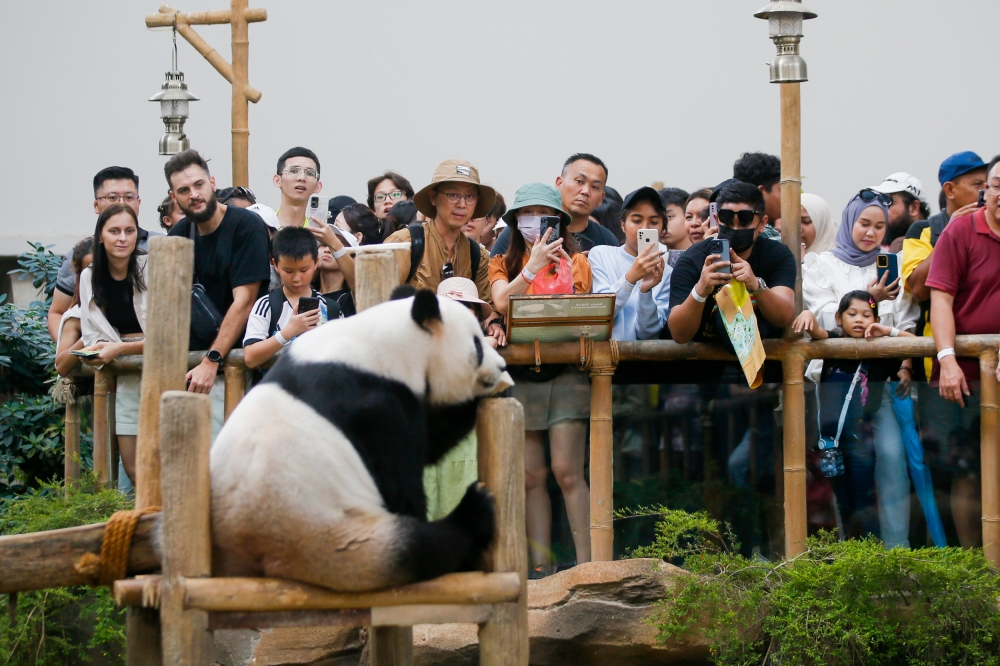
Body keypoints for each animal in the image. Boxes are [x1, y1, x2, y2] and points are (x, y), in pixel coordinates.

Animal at [208, 288, 512, 588]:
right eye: (476, 345)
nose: (501, 366)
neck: (387, 339)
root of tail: (255, 552)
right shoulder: (378, 408)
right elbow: (403, 482)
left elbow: (433, 438)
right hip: (338, 543)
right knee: (420, 547)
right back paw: (472, 511)